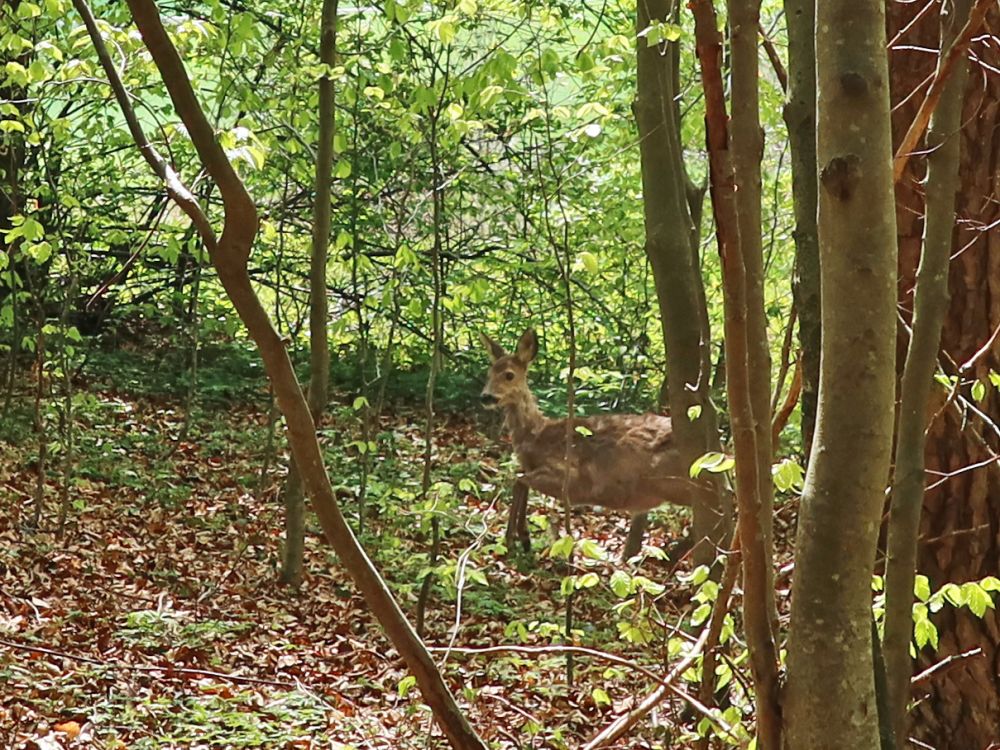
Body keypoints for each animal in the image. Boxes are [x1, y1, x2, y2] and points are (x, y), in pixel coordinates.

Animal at [479, 327, 715, 556]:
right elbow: (520, 480)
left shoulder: (570, 476)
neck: (536, 436)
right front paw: (523, 539)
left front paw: (514, 538)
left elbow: (519, 481)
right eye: (489, 373)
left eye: (509, 375)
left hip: (676, 482)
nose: (485, 397)